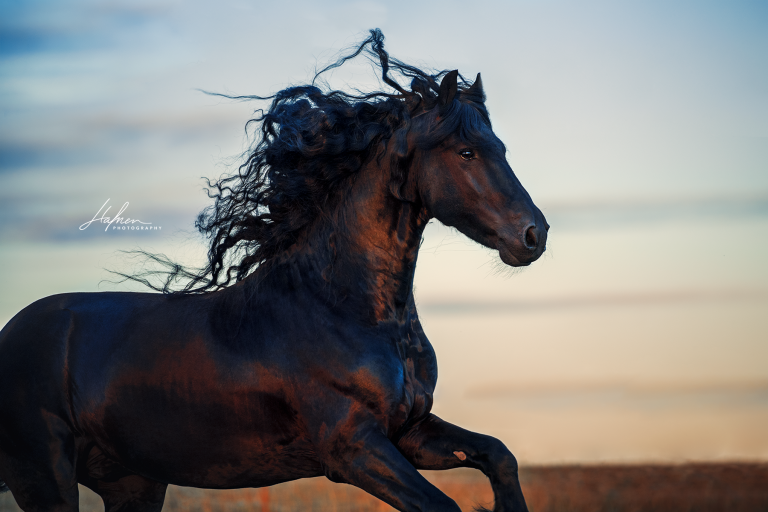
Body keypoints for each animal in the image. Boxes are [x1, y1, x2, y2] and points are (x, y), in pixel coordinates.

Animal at [0, 29, 548, 512]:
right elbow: (441, 503)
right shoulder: (352, 448)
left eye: (501, 148)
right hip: (46, 478)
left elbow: (499, 455)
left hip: (132, 483)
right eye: (466, 151)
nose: (534, 235)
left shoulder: (410, 432)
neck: (342, 308)